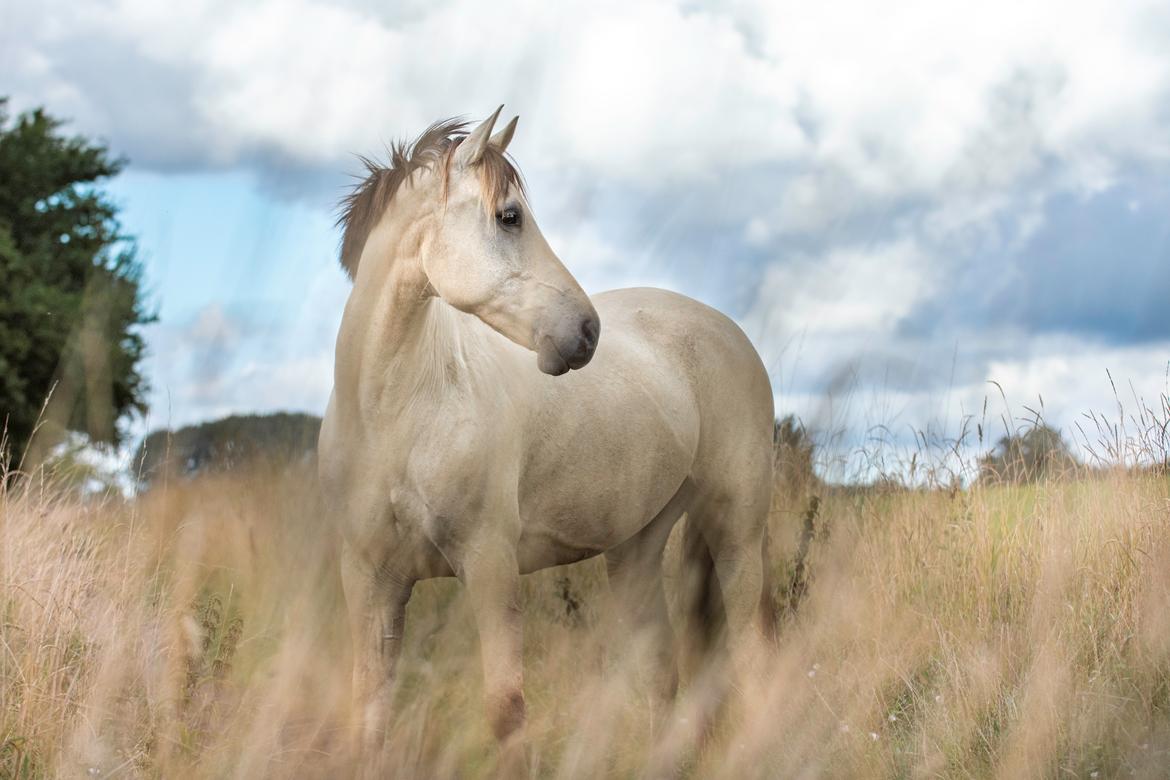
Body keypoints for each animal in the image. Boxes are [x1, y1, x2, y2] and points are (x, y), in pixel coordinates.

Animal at [320, 107, 776, 771]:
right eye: (509, 216)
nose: (586, 333)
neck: (395, 417)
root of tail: (728, 331)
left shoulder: (489, 567)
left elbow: (506, 712)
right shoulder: (370, 581)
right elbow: (369, 718)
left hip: (736, 530)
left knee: (751, 655)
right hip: (637, 549)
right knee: (662, 670)